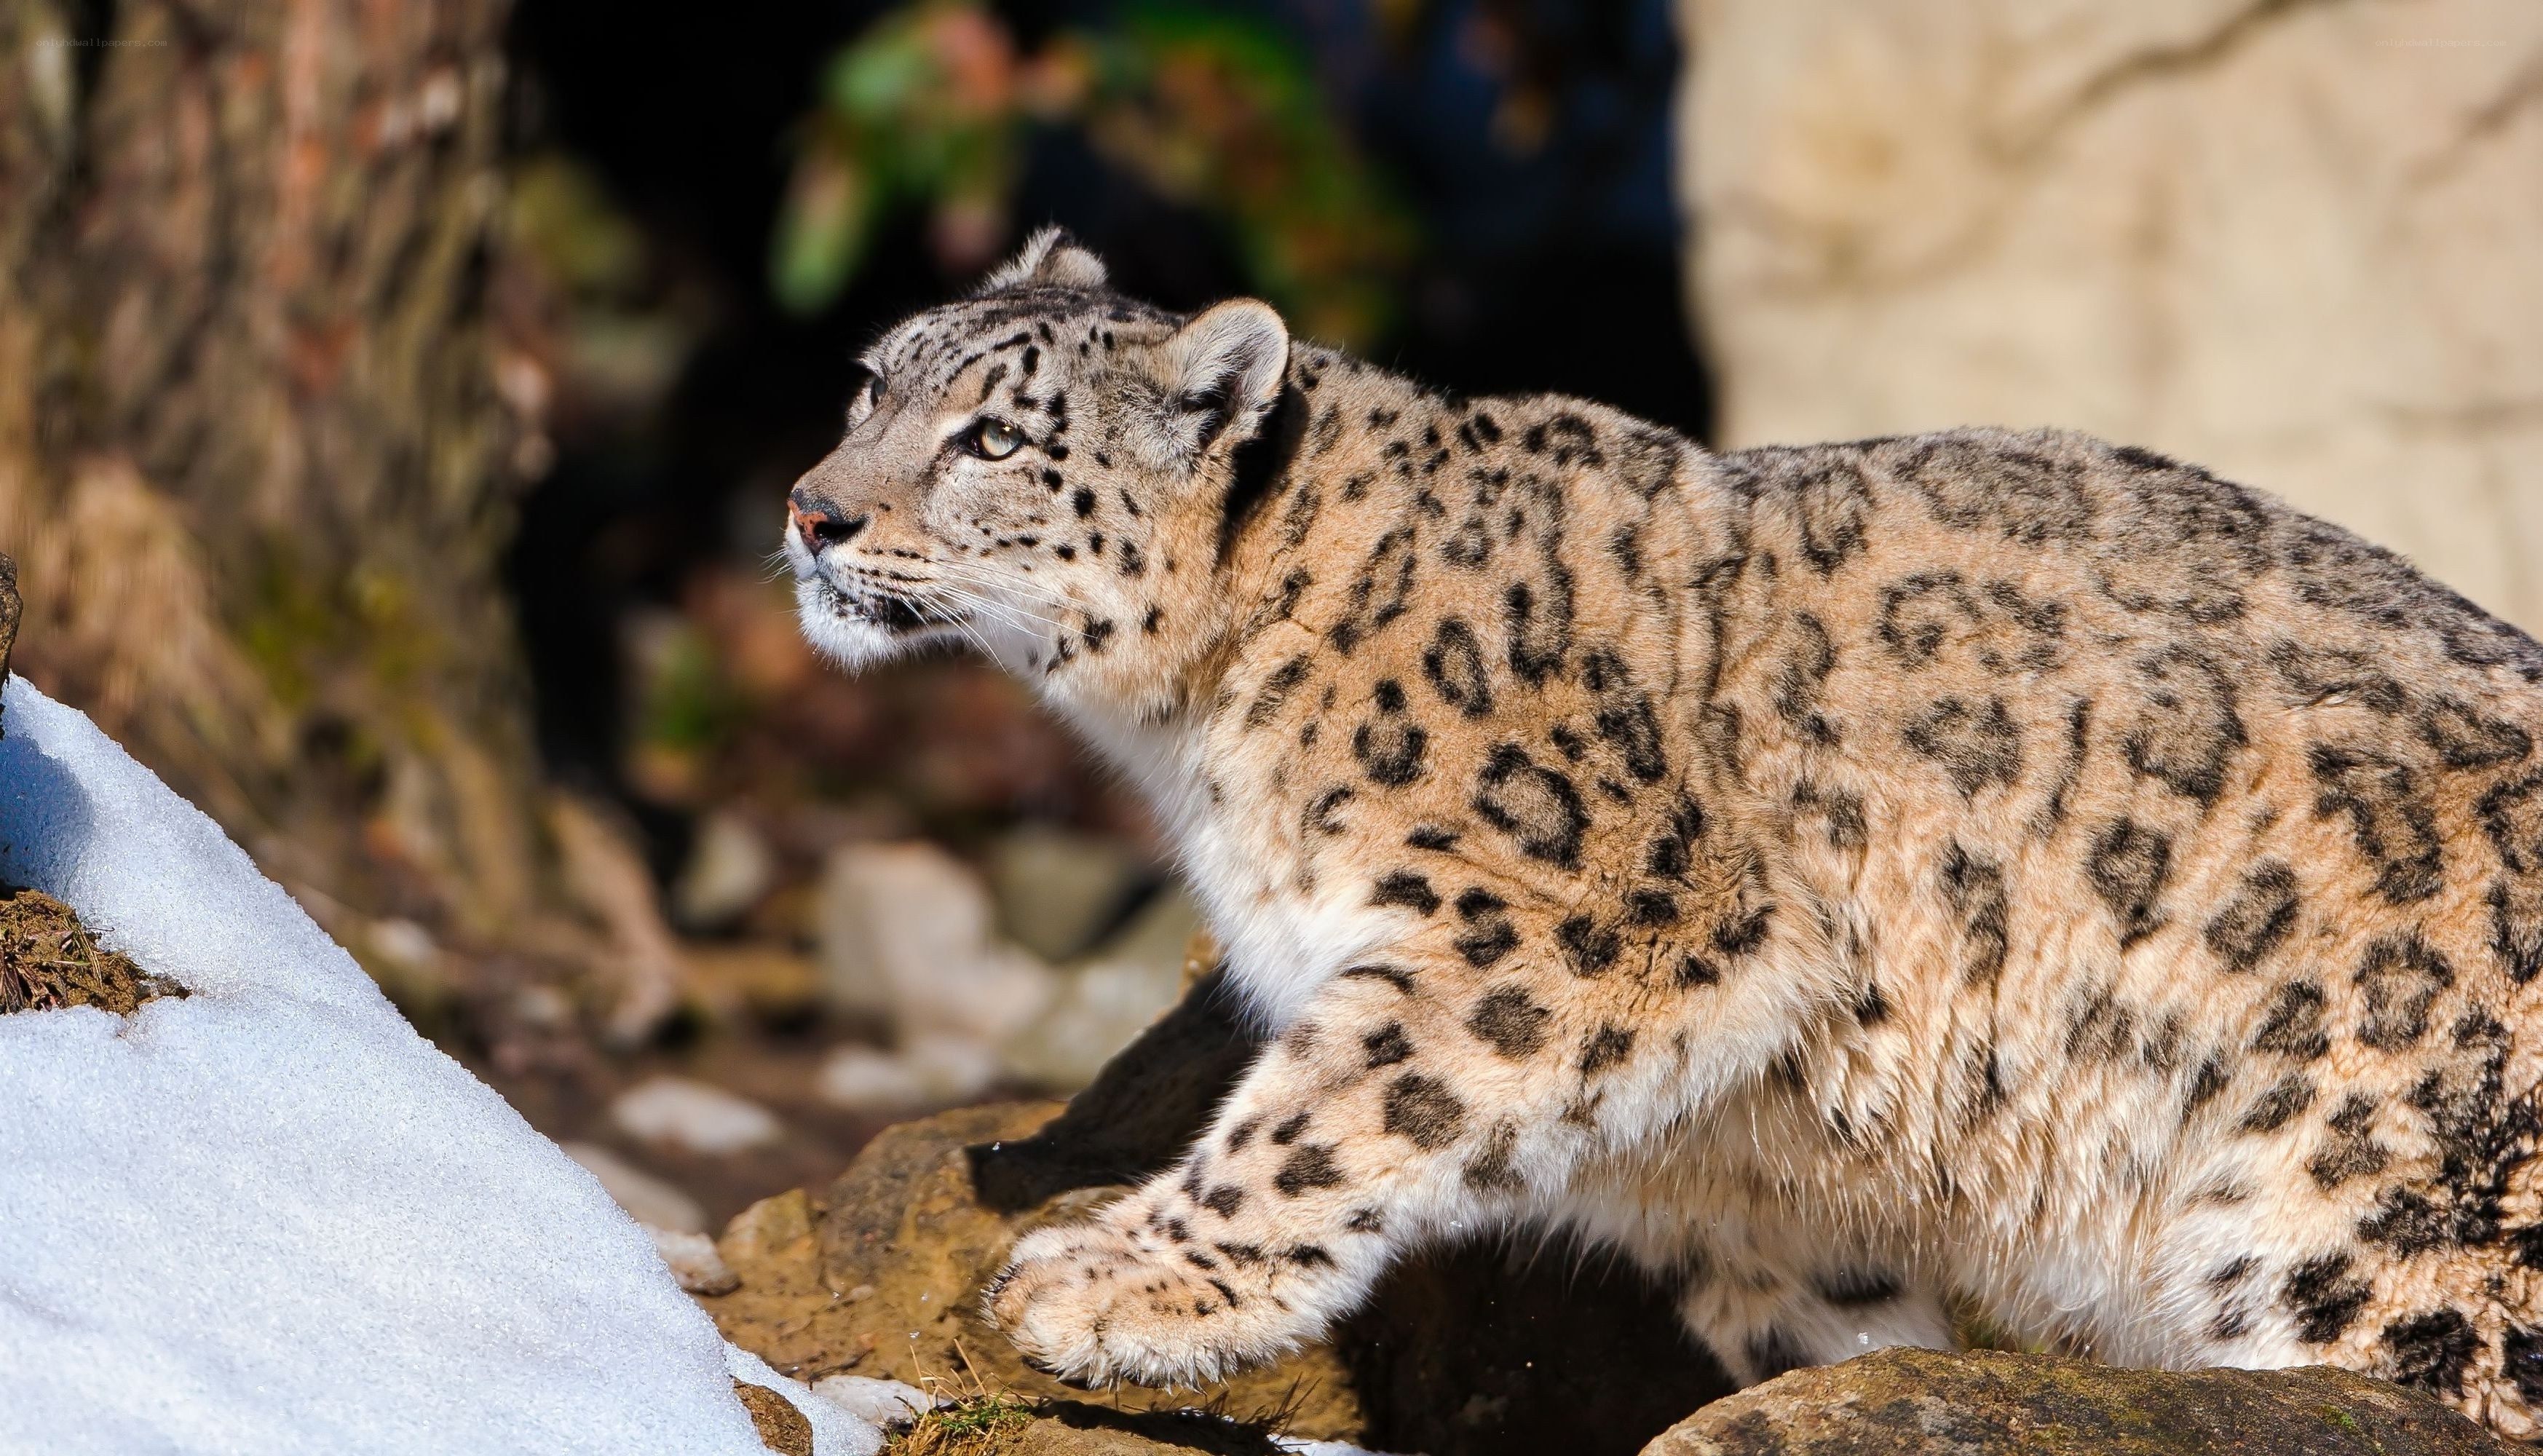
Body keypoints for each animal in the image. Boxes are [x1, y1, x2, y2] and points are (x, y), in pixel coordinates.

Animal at [782, 228, 2543, 1437]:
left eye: (995, 438)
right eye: (870, 382)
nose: (810, 511)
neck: (1195, 740)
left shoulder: (1581, 924)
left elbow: (1323, 1120)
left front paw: (1108, 1286)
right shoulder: (1733, 1181)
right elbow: (1827, 1320)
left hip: (2392, 1228)